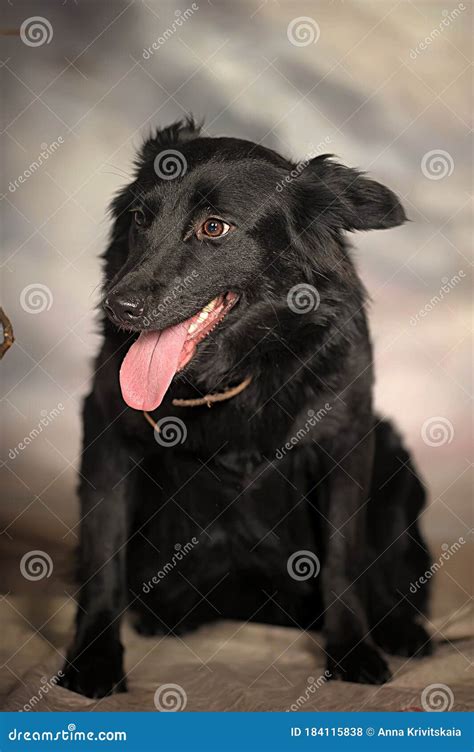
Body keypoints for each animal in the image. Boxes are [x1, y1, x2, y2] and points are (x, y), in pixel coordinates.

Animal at [61, 119, 432, 700]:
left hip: (394, 459)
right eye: (140, 218)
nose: (118, 307)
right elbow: (102, 557)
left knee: (385, 571)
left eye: (214, 227)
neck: (238, 372)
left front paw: (352, 649)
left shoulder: (346, 440)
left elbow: (345, 558)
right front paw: (94, 658)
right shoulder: (106, 434)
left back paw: (398, 627)